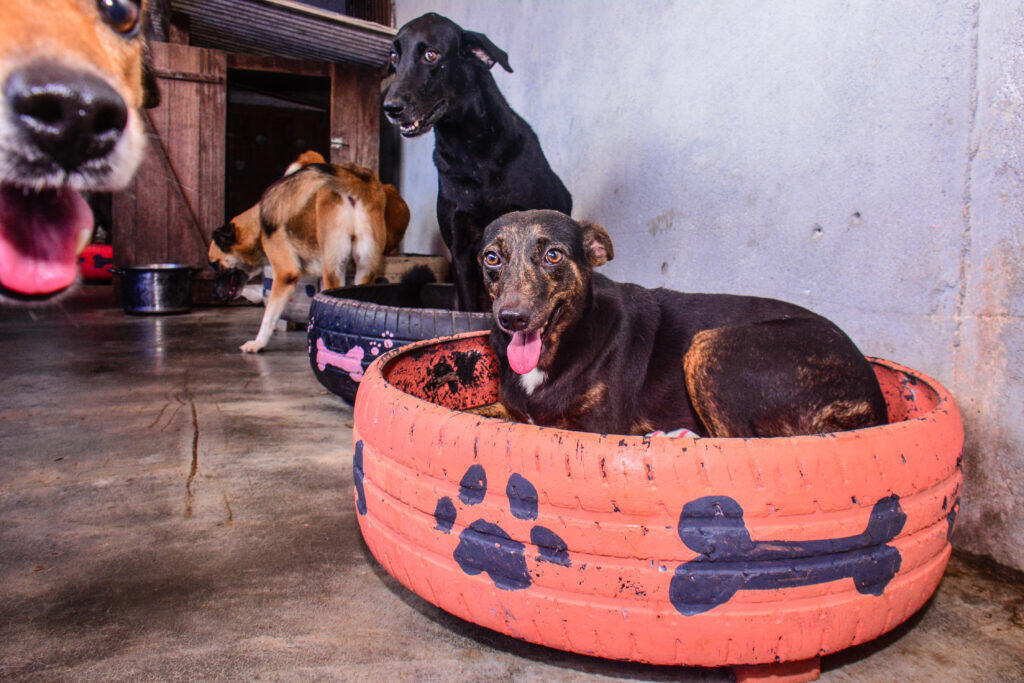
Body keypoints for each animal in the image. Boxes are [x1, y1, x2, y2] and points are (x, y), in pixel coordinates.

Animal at [208, 151, 410, 353]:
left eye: (215, 265)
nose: (215, 295)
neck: (259, 226)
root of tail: (358, 179)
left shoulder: (285, 274)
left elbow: (269, 316)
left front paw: (258, 343)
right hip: (364, 267)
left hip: (334, 268)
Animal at [479, 210, 888, 437]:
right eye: (492, 258)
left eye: (553, 255)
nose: (511, 318)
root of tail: (876, 405)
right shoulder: (513, 411)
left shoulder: (598, 427)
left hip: (711, 346)